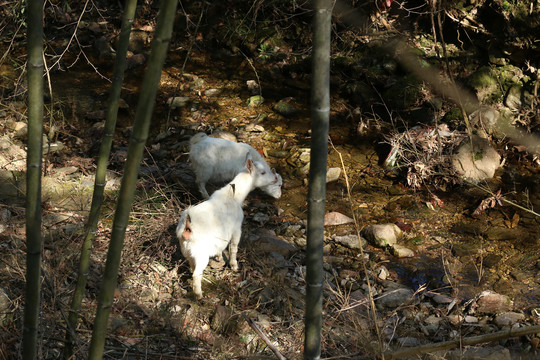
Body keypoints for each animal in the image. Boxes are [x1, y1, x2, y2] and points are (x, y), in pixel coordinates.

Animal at [176, 157, 258, 298]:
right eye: (262, 172)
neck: (233, 195)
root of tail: (187, 228)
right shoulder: (237, 228)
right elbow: (234, 247)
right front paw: (234, 265)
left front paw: (219, 257)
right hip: (201, 254)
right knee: (196, 274)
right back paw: (199, 295)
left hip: (187, 251)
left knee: (192, 266)